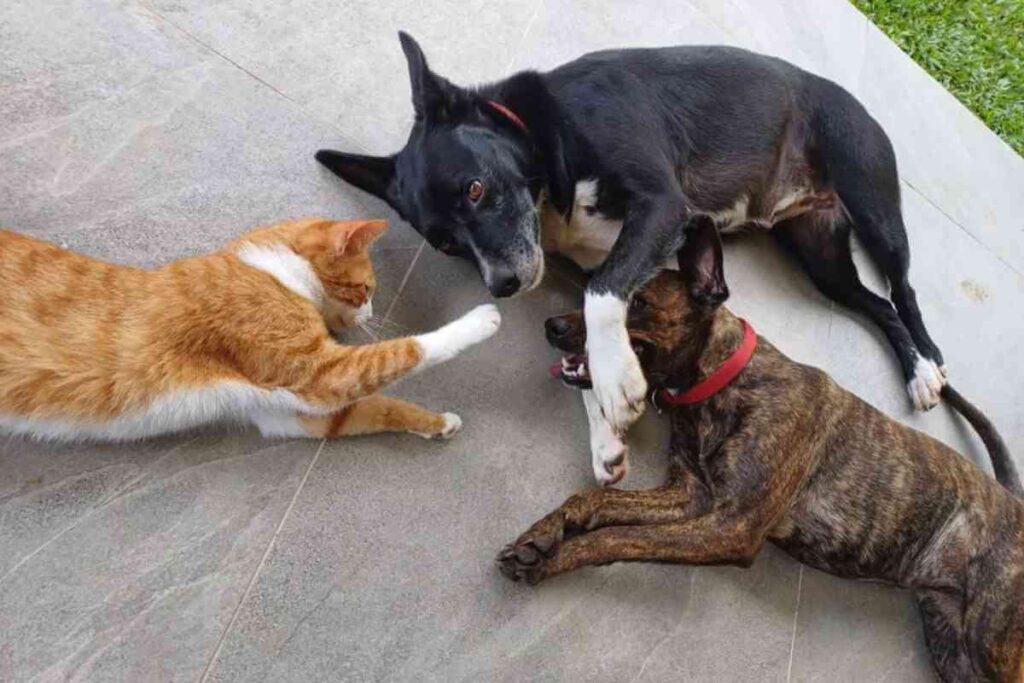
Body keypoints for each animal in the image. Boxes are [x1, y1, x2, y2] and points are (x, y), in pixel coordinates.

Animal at [0, 219, 499, 444]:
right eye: (366, 290)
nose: (373, 310)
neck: (275, 271)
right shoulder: (321, 375)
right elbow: (411, 349)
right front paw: (481, 320)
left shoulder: (294, 415)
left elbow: (381, 408)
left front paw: (437, 423)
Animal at [315, 31, 946, 479]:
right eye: (444, 242)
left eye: (474, 188)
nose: (502, 285)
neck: (549, 136)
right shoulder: (616, 263)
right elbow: (589, 334)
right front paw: (605, 440)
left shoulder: (663, 209)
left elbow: (600, 304)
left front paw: (619, 385)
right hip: (820, 257)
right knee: (875, 305)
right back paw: (914, 369)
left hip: (873, 204)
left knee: (903, 289)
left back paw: (929, 365)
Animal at [497, 216, 1024, 679]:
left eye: (638, 303)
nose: (551, 326)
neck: (721, 382)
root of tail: (1013, 501)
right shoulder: (689, 494)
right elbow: (596, 499)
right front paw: (546, 532)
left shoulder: (730, 527)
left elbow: (614, 538)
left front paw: (553, 559)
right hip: (951, 645)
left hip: (990, 643)